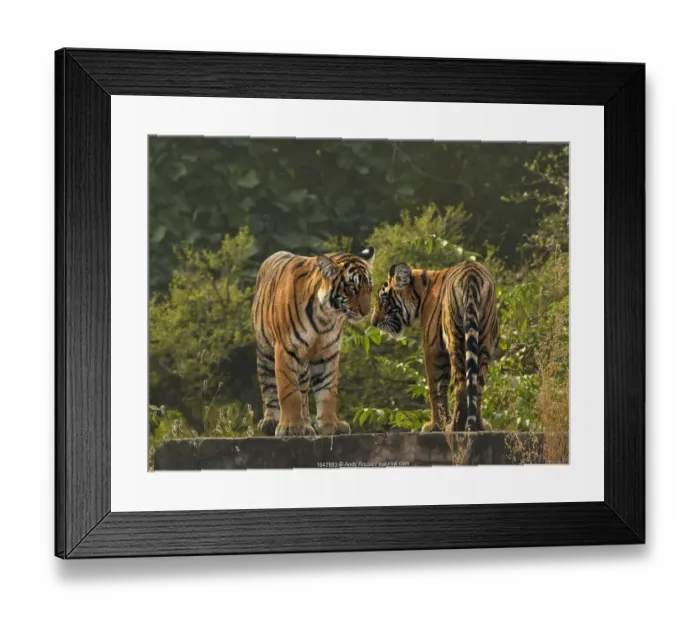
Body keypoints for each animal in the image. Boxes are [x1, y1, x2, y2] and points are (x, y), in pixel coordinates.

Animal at [252, 247, 375, 437]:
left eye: (369, 288)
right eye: (352, 288)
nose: (366, 312)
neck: (325, 316)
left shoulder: (328, 353)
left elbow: (327, 391)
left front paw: (329, 425)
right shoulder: (286, 350)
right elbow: (289, 391)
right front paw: (289, 427)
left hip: (302, 362)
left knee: (303, 392)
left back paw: (307, 425)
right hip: (265, 351)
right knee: (269, 385)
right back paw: (271, 422)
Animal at [371, 260, 499, 433]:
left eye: (383, 301)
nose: (373, 322)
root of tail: (471, 273)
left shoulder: (433, 347)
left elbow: (436, 388)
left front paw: (435, 426)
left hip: (455, 338)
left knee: (460, 385)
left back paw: (454, 426)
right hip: (484, 339)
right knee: (477, 385)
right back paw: (480, 426)